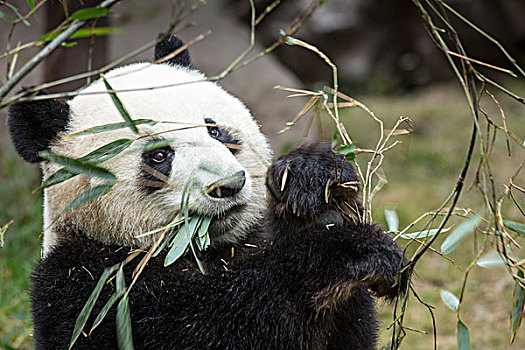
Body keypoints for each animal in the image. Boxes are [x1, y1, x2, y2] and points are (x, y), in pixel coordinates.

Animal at [9, 36, 410, 350]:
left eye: (214, 130)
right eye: (159, 155)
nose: (229, 184)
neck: (210, 249)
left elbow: (348, 335)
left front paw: (313, 182)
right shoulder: (91, 290)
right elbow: (221, 324)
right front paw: (348, 250)